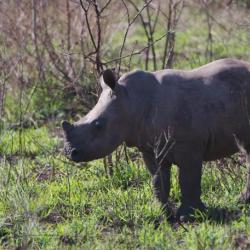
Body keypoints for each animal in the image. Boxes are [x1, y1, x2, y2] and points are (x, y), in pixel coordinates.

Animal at [62, 58, 250, 219]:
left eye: (98, 125)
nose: (69, 152)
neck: (131, 101)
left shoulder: (189, 145)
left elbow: (187, 179)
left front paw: (189, 216)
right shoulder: (149, 146)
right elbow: (158, 179)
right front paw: (163, 213)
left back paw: (240, 202)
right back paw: (242, 203)